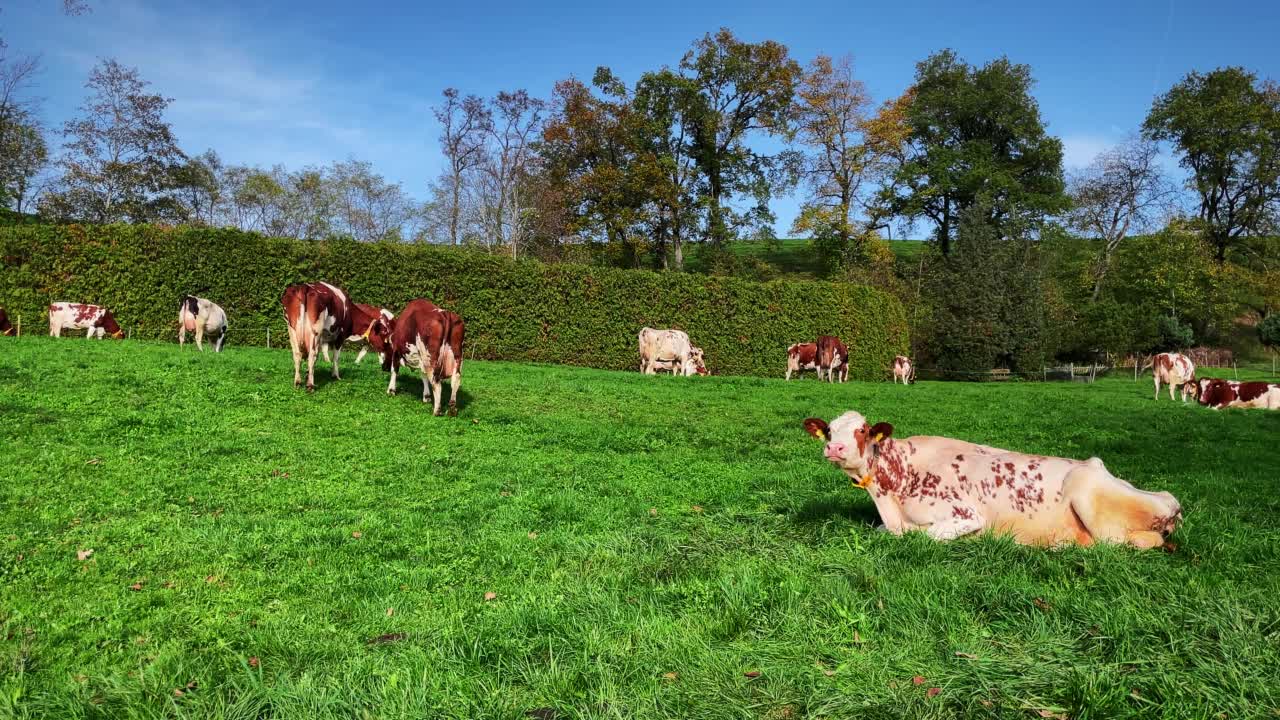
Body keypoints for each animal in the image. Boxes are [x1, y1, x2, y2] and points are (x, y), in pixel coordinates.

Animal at [803, 409, 1182, 548]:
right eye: (829, 430)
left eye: (862, 430)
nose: (834, 447)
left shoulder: (964, 515)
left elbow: (923, 535)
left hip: (1090, 496)